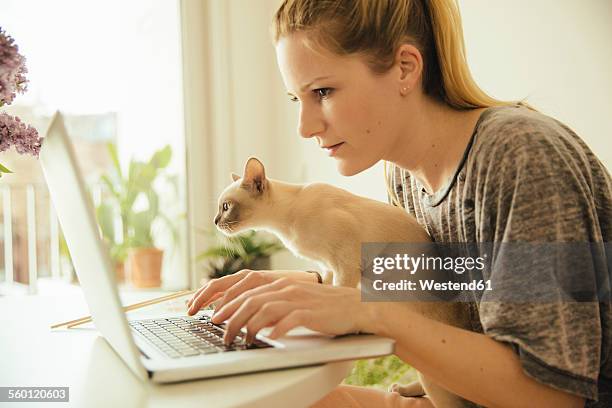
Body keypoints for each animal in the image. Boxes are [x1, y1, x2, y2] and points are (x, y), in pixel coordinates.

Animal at [213, 156, 476, 408]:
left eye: (226, 207)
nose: (215, 221)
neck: (286, 224)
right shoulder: (328, 267)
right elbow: (324, 288)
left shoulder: (345, 264)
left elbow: (337, 292)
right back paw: (402, 389)